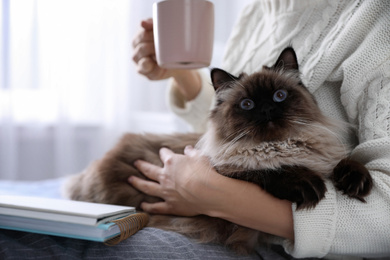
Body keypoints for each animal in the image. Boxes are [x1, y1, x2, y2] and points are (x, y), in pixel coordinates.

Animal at [63, 47, 372, 254]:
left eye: (279, 96)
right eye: (247, 104)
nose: (266, 110)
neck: (279, 145)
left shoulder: (322, 156)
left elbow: (344, 162)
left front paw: (356, 182)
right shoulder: (227, 171)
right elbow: (269, 171)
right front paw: (306, 184)